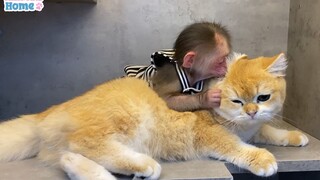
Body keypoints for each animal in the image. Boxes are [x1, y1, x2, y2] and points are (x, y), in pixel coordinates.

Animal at [0, 52, 308, 179]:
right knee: (86, 143)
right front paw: (262, 158)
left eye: (262, 98)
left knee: (71, 157)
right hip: (124, 119)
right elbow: (234, 146)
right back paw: (144, 165)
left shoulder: (254, 126)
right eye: (237, 101)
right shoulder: (210, 134)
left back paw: (80, 167)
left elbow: (268, 131)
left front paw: (293, 136)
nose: (252, 112)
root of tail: (47, 113)